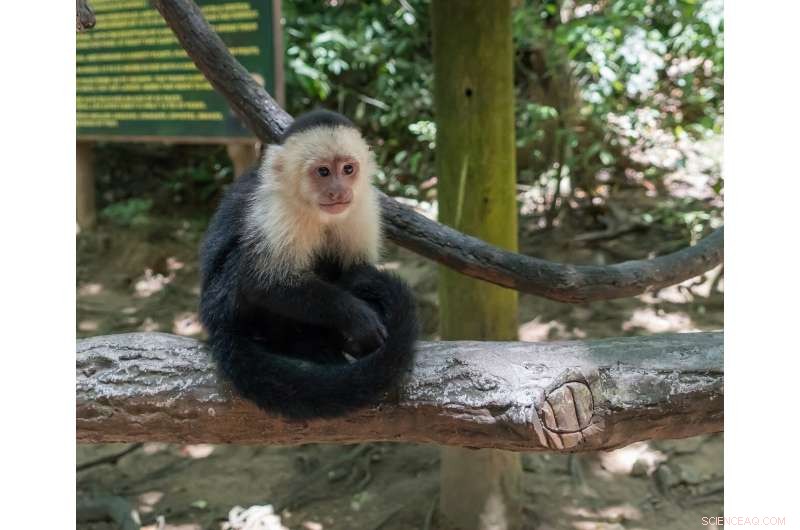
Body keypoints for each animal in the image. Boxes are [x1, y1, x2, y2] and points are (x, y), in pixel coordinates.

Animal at [199, 109, 419, 419]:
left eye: (348, 169)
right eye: (323, 172)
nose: (339, 191)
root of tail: (215, 324)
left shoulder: (363, 205)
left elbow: (356, 271)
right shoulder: (279, 210)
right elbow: (265, 284)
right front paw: (357, 317)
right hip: (226, 307)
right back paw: (302, 346)